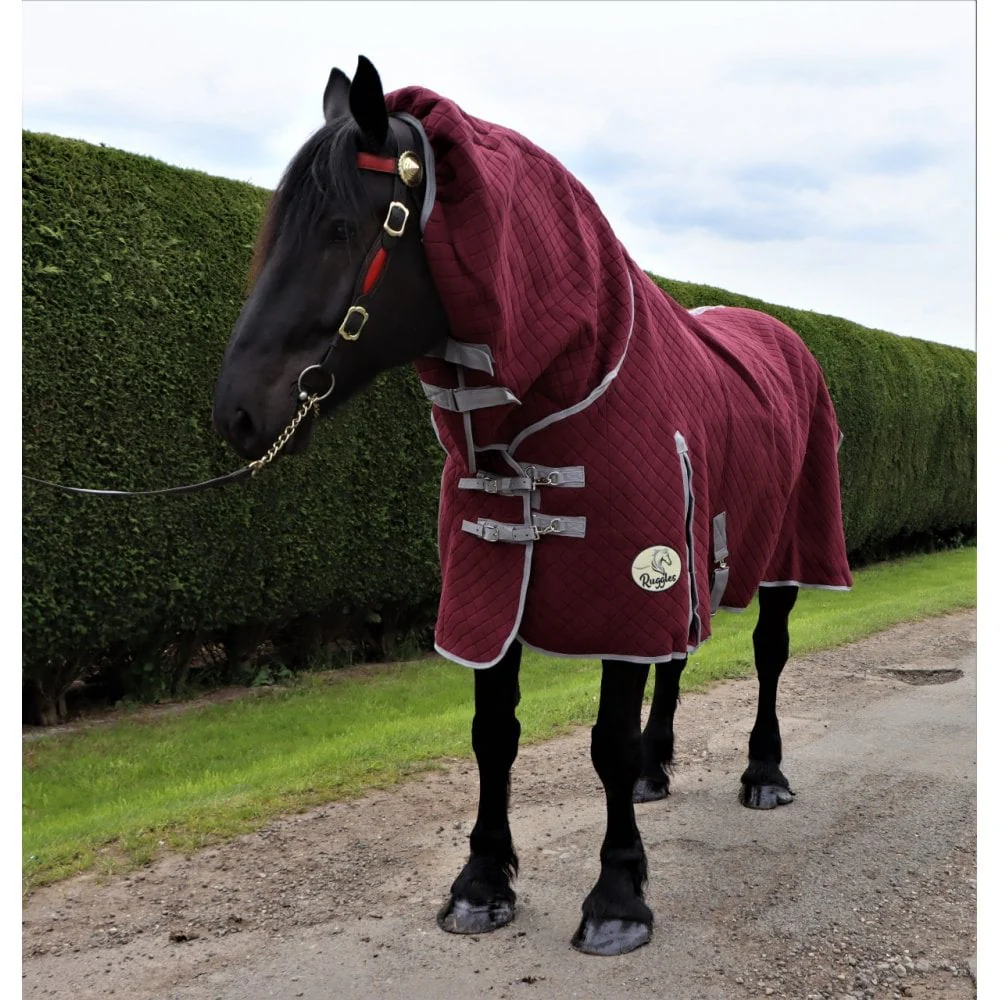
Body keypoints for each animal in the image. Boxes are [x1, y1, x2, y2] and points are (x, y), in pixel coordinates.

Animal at [212, 56, 852, 956]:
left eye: (339, 227)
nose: (237, 414)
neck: (567, 387)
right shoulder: (498, 580)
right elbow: (494, 736)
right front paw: (482, 883)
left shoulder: (631, 576)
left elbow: (607, 742)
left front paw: (618, 896)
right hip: (688, 553)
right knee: (679, 652)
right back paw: (659, 769)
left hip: (782, 552)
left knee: (767, 654)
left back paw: (764, 773)